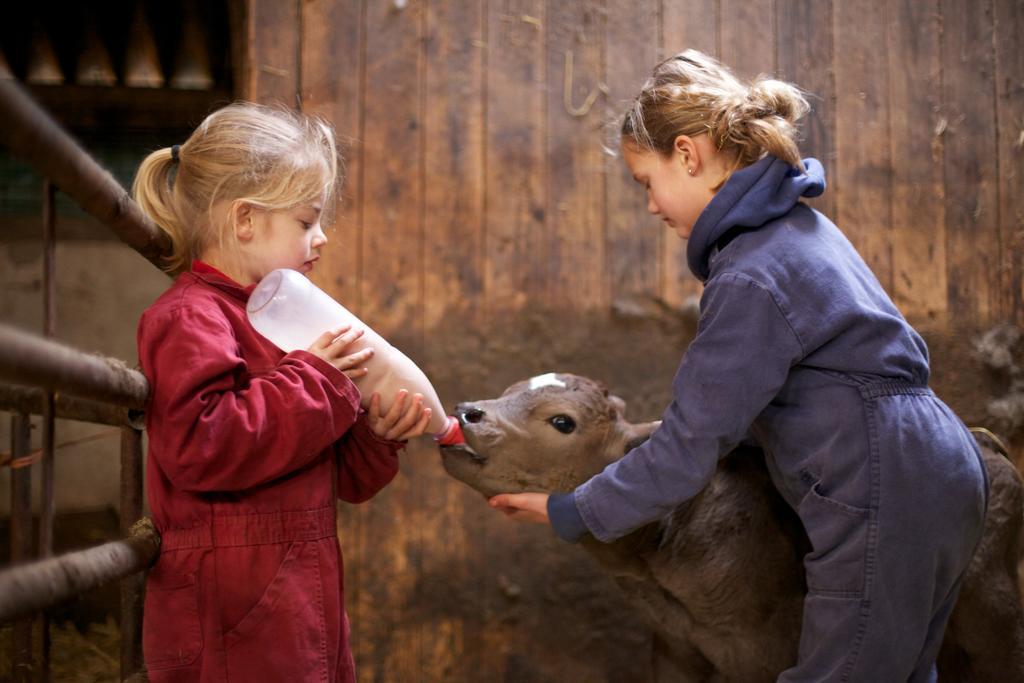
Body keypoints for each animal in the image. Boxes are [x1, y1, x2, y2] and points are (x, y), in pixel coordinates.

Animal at [444, 374, 1024, 683]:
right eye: (509, 388)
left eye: (562, 421)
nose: (469, 411)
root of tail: (984, 439)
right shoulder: (674, 649)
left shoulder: (769, 651)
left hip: (991, 616)